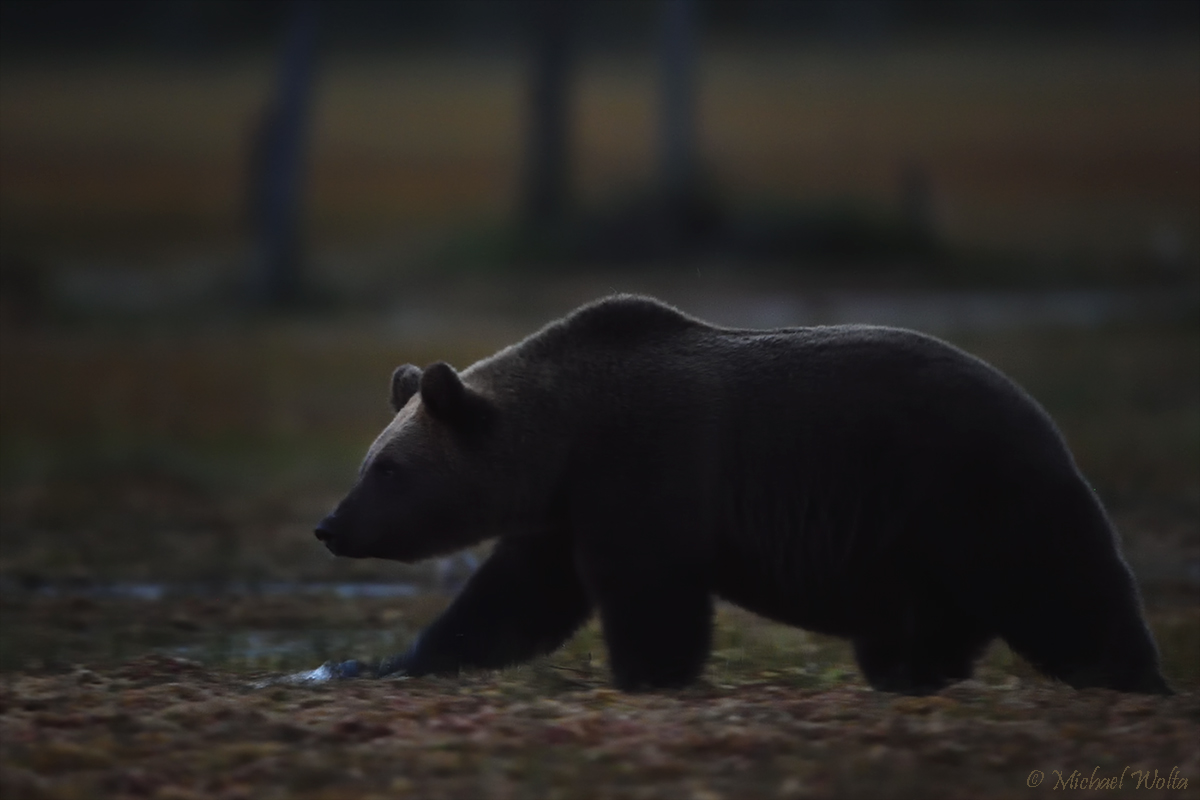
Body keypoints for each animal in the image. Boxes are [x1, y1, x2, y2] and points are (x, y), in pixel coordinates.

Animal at [314, 293, 1166, 695]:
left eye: (386, 469)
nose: (331, 524)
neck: (563, 439)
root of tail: (1040, 414)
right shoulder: (565, 513)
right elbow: (509, 603)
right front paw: (381, 664)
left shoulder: (643, 471)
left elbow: (648, 593)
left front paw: (649, 676)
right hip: (912, 549)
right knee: (927, 628)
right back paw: (912, 676)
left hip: (969, 493)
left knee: (1064, 590)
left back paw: (1134, 678)